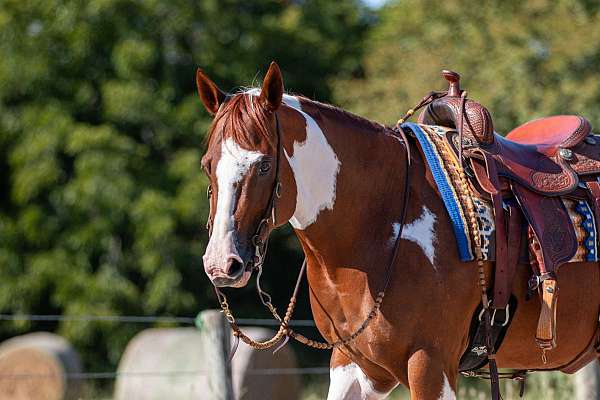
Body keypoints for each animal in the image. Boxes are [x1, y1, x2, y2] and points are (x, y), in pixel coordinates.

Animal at [198, 61, 600, 398]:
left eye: (264, 165)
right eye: (207, 165)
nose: (221, 264)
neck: (379, 221)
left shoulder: (430, 365)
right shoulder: (355, 367)